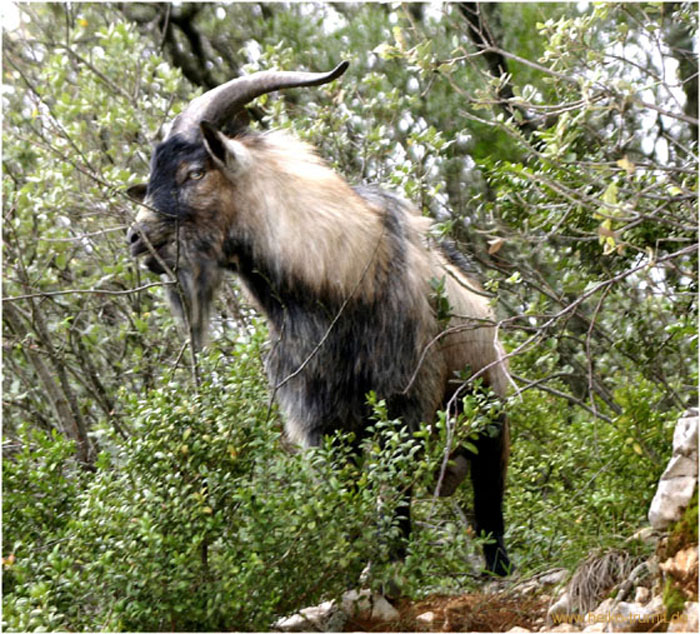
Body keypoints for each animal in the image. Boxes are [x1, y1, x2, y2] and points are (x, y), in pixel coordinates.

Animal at [126, 61, 512, 576]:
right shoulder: (321, 420)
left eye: (194, 171)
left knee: (490, 496)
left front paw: (393, 567)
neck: (339, 281)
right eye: (151, 180)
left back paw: (497, 569)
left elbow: (396, 491)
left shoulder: (405, 398)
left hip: (487, 407)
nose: (137, 239)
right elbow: (345, 490)